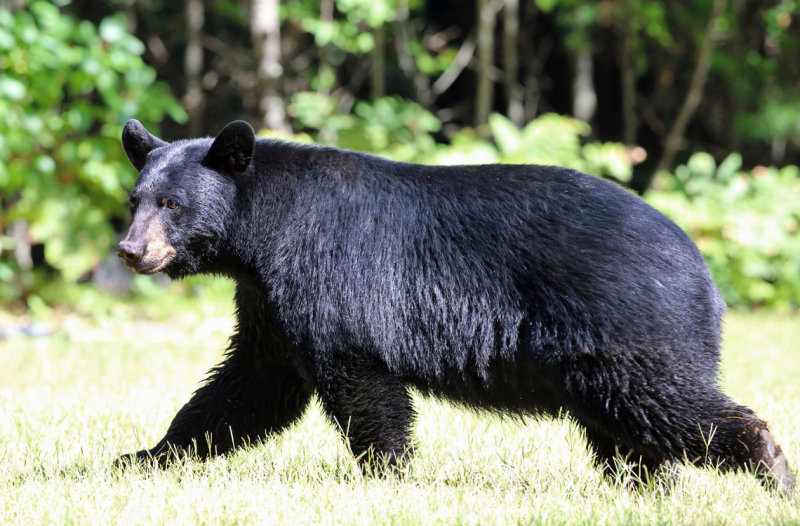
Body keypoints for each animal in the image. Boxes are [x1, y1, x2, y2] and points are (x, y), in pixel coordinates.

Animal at [117, 119, 792, 496]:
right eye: (135, 198)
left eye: (173, 204)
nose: (130, 250)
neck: (262, 235)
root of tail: (703, 269)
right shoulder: (265, 302)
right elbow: (249, 386)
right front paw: (146, 455)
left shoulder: (326, 278)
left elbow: (359, 383)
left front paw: (387, 476)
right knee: (632, 426)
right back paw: (646, 488)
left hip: (620, 325)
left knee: (663, 400)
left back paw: (770, 465)